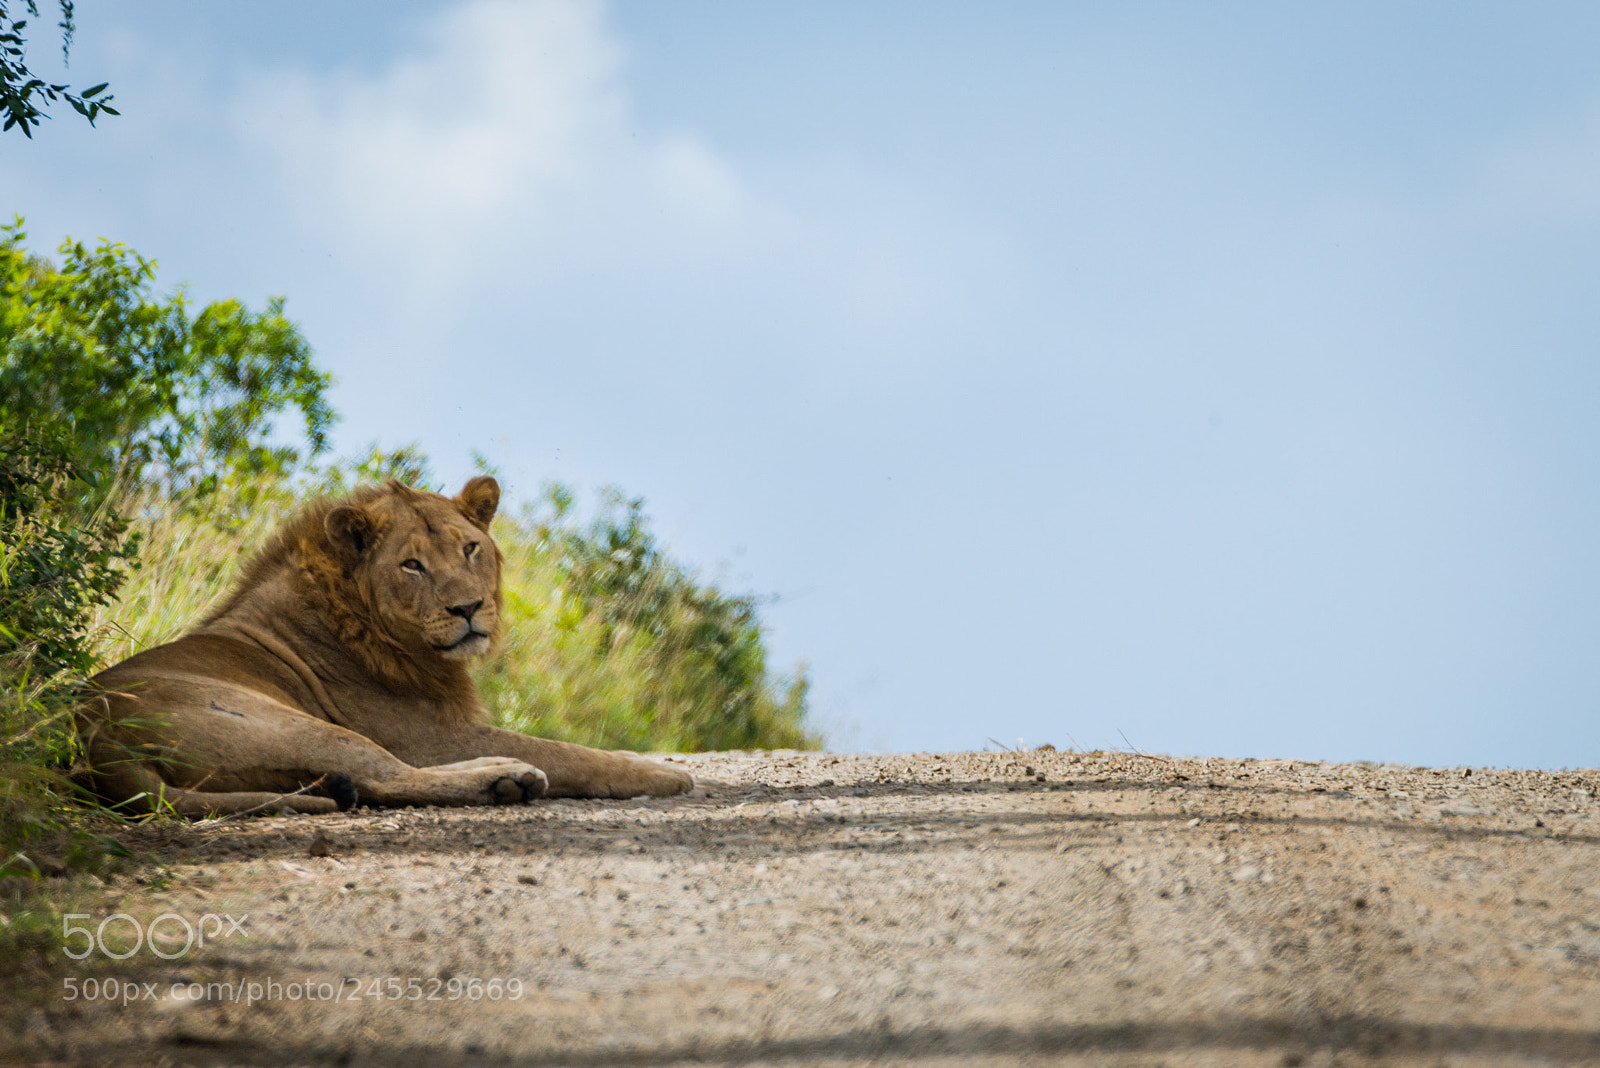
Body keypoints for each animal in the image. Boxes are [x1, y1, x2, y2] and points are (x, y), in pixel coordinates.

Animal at [81, 476, 693, 816]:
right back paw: (506, 777)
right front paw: (667, 774)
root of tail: (89, 736)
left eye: (470, 548)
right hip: (293, 723)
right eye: (412, 565)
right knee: (388, 777)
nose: (468, 608)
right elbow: (569, 751)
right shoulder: (425, 734)